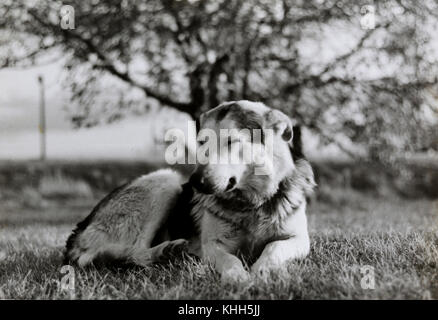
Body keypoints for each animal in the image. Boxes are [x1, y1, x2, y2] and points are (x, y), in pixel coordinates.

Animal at [64, 100, 314, 282]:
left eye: (231, 141)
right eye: (203, 143)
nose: (195, 181)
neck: (251, 203)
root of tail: (78, 230)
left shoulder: (299, 240)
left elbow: (273, 247)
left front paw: (262, 271)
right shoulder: (213, 246)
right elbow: (231, 261)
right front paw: (237, 277)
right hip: (166, 180)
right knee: (129, 251)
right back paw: (165, 252)